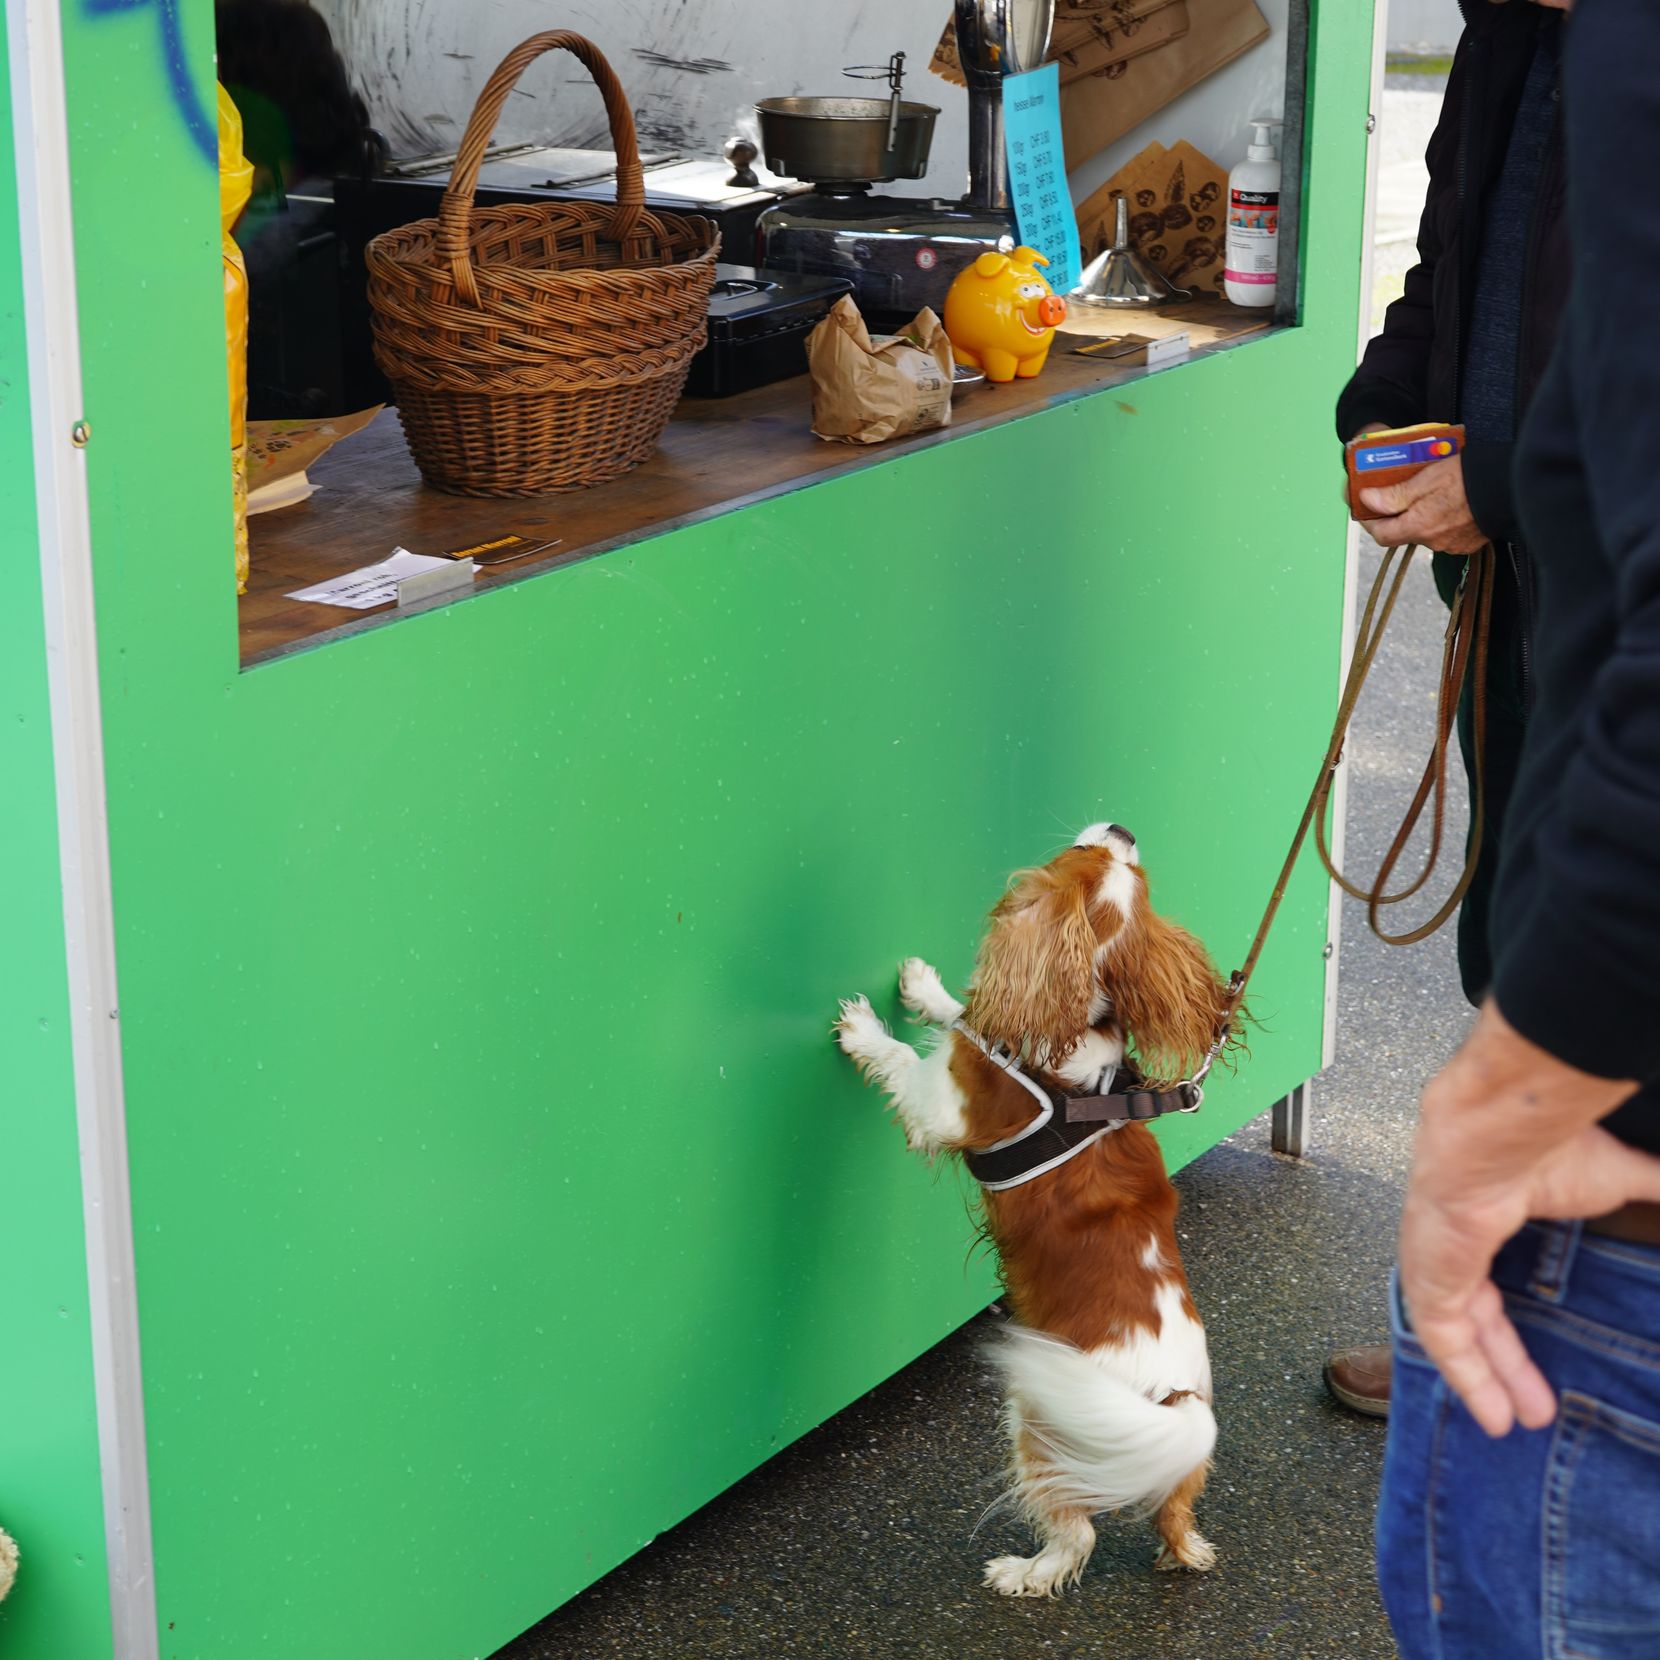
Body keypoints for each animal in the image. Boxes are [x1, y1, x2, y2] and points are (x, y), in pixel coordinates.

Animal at [830, 823, 1235, 1600]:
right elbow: (965, 1011)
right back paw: (1182, 1553)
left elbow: (902, 1062)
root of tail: (1172, 1399)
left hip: (1044, 1418)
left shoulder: (945, 1100)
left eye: (1084, 856)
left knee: (1076, 1535)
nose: (1123, 829)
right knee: (1174, 1520)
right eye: (1124, 865)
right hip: (1162, 1465)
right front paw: (923, 985)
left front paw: (863, 1028)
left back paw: (1023, 1573)